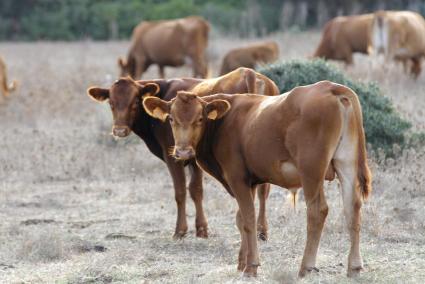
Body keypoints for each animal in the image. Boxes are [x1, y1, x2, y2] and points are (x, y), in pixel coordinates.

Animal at [86, 66, 278, 240]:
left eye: (134, 103)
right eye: (111, 103)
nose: (119, 130)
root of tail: (248, 73)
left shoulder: (173, 156)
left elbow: (181, 191)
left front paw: (180, 230)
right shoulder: (194, 157)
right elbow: (196, 190)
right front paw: (201, 229)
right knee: (263, 190)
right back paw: (262, 231)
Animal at [145, 80, 372, 278]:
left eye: (200, 119)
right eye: (171, 119)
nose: (183, 152)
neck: (225, 122)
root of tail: (331, 87)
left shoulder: (237, 178)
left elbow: (248, 219)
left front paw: (251, 267)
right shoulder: (251, 182)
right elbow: (240, 219)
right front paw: (242, 261)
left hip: (311, 171)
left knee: (317, 211)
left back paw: (306, 267)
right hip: (347, 164)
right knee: (353, 208)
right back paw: (354, 267)